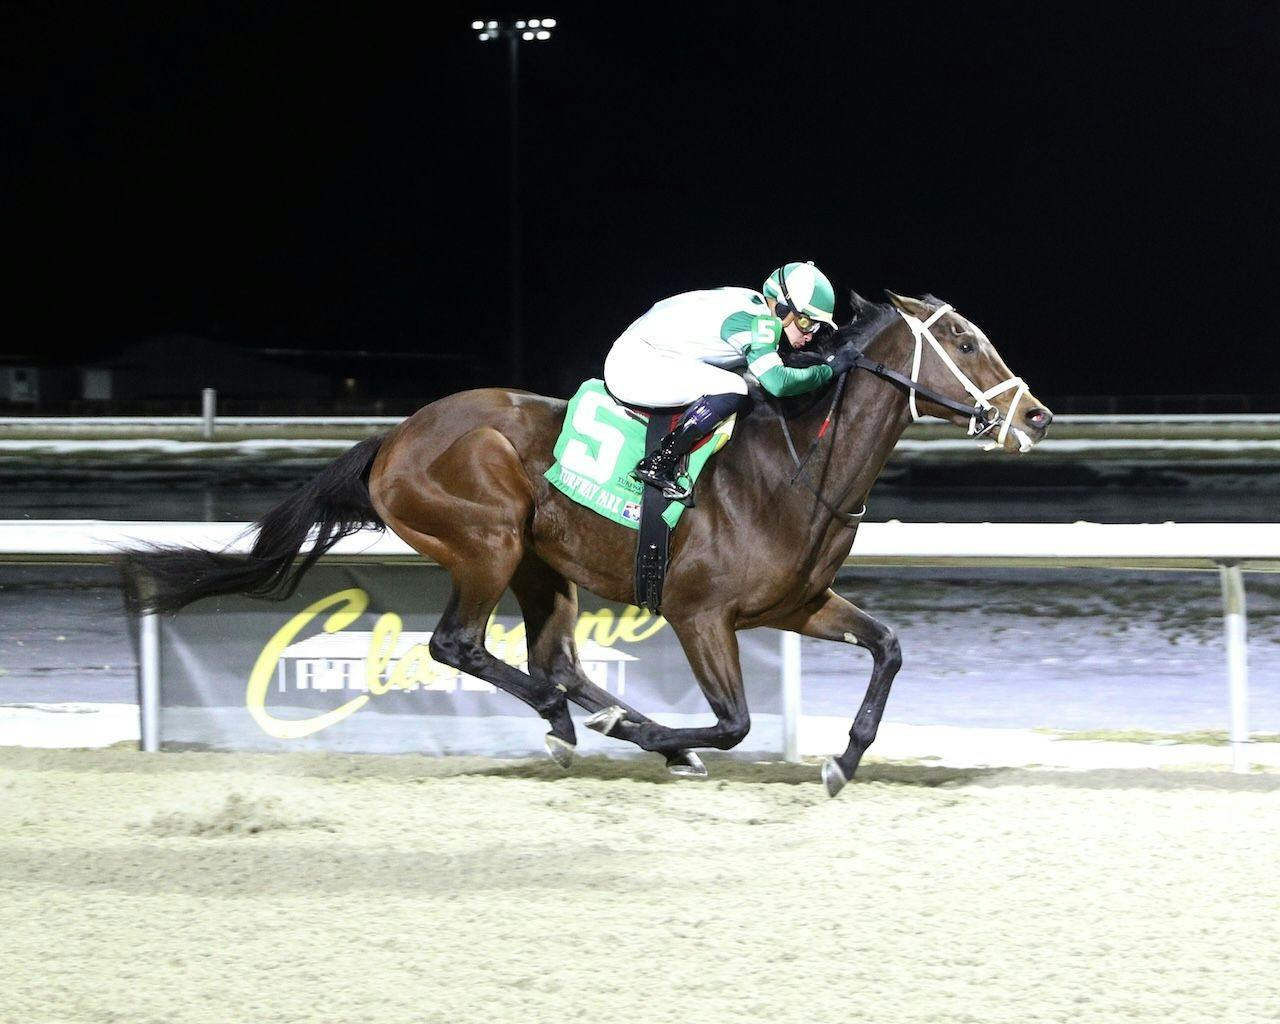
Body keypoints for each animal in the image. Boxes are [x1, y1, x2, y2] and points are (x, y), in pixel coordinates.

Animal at [127, 291, 1049, 793]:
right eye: (963, 341)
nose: (1036, 415)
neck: (791, 467)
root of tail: (393, 439)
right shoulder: (698, 614)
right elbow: (733, 724)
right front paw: (674, 745)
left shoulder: (798, 604)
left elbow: (887, 647)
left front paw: (844, 760)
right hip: (487, 540)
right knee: (460, 645)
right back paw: (580, 723)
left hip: (543, 566)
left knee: (554, 660)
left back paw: (593, 715)